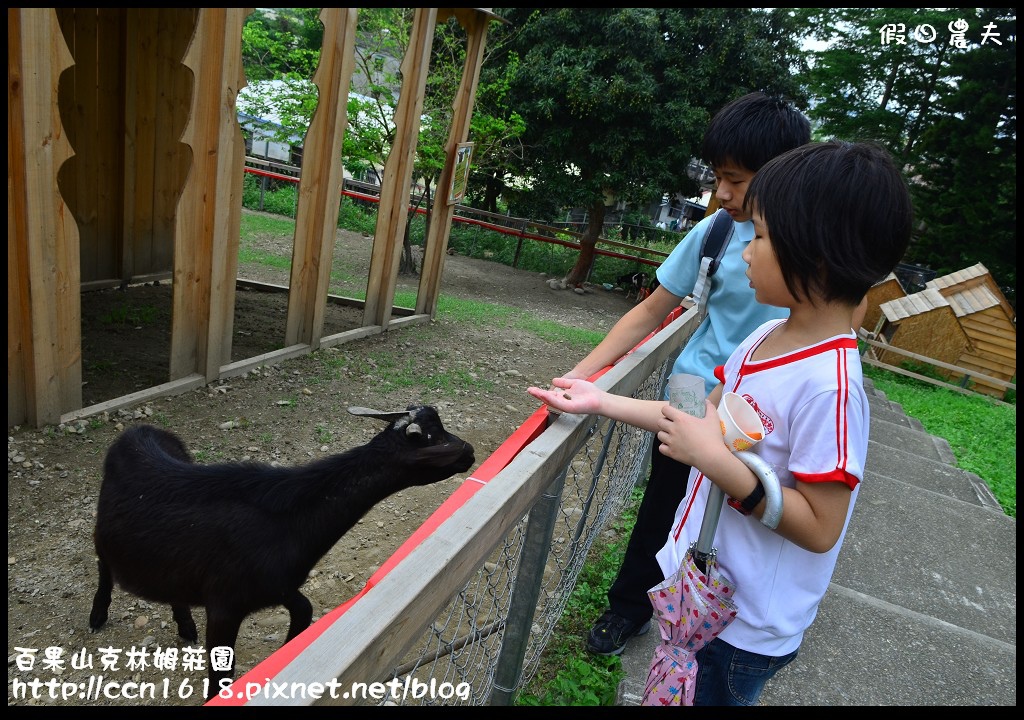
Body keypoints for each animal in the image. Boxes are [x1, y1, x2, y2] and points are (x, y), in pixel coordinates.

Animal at [88, 407, 471, 700]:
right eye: (433, 438)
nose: (469, 451)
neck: (287, 518)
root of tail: (137, 431)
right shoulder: (225, 603)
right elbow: (221, 673)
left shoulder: (277, 584)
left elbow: (304, 609)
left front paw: (289, 648)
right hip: (104, 538)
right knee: (104, 567)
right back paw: (98, 615)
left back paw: (185, 625)